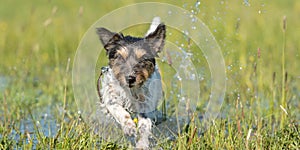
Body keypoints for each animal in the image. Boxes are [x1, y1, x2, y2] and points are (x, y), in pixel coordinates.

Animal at [97, 17, 165, 149]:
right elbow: (120, 111)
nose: (130, 78)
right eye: (120, 58)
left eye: (143, 59)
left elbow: (144, 126)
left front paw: (142, 144)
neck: (130, 91)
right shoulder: (110, 98)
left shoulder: (146, 105)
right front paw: (129, 127)